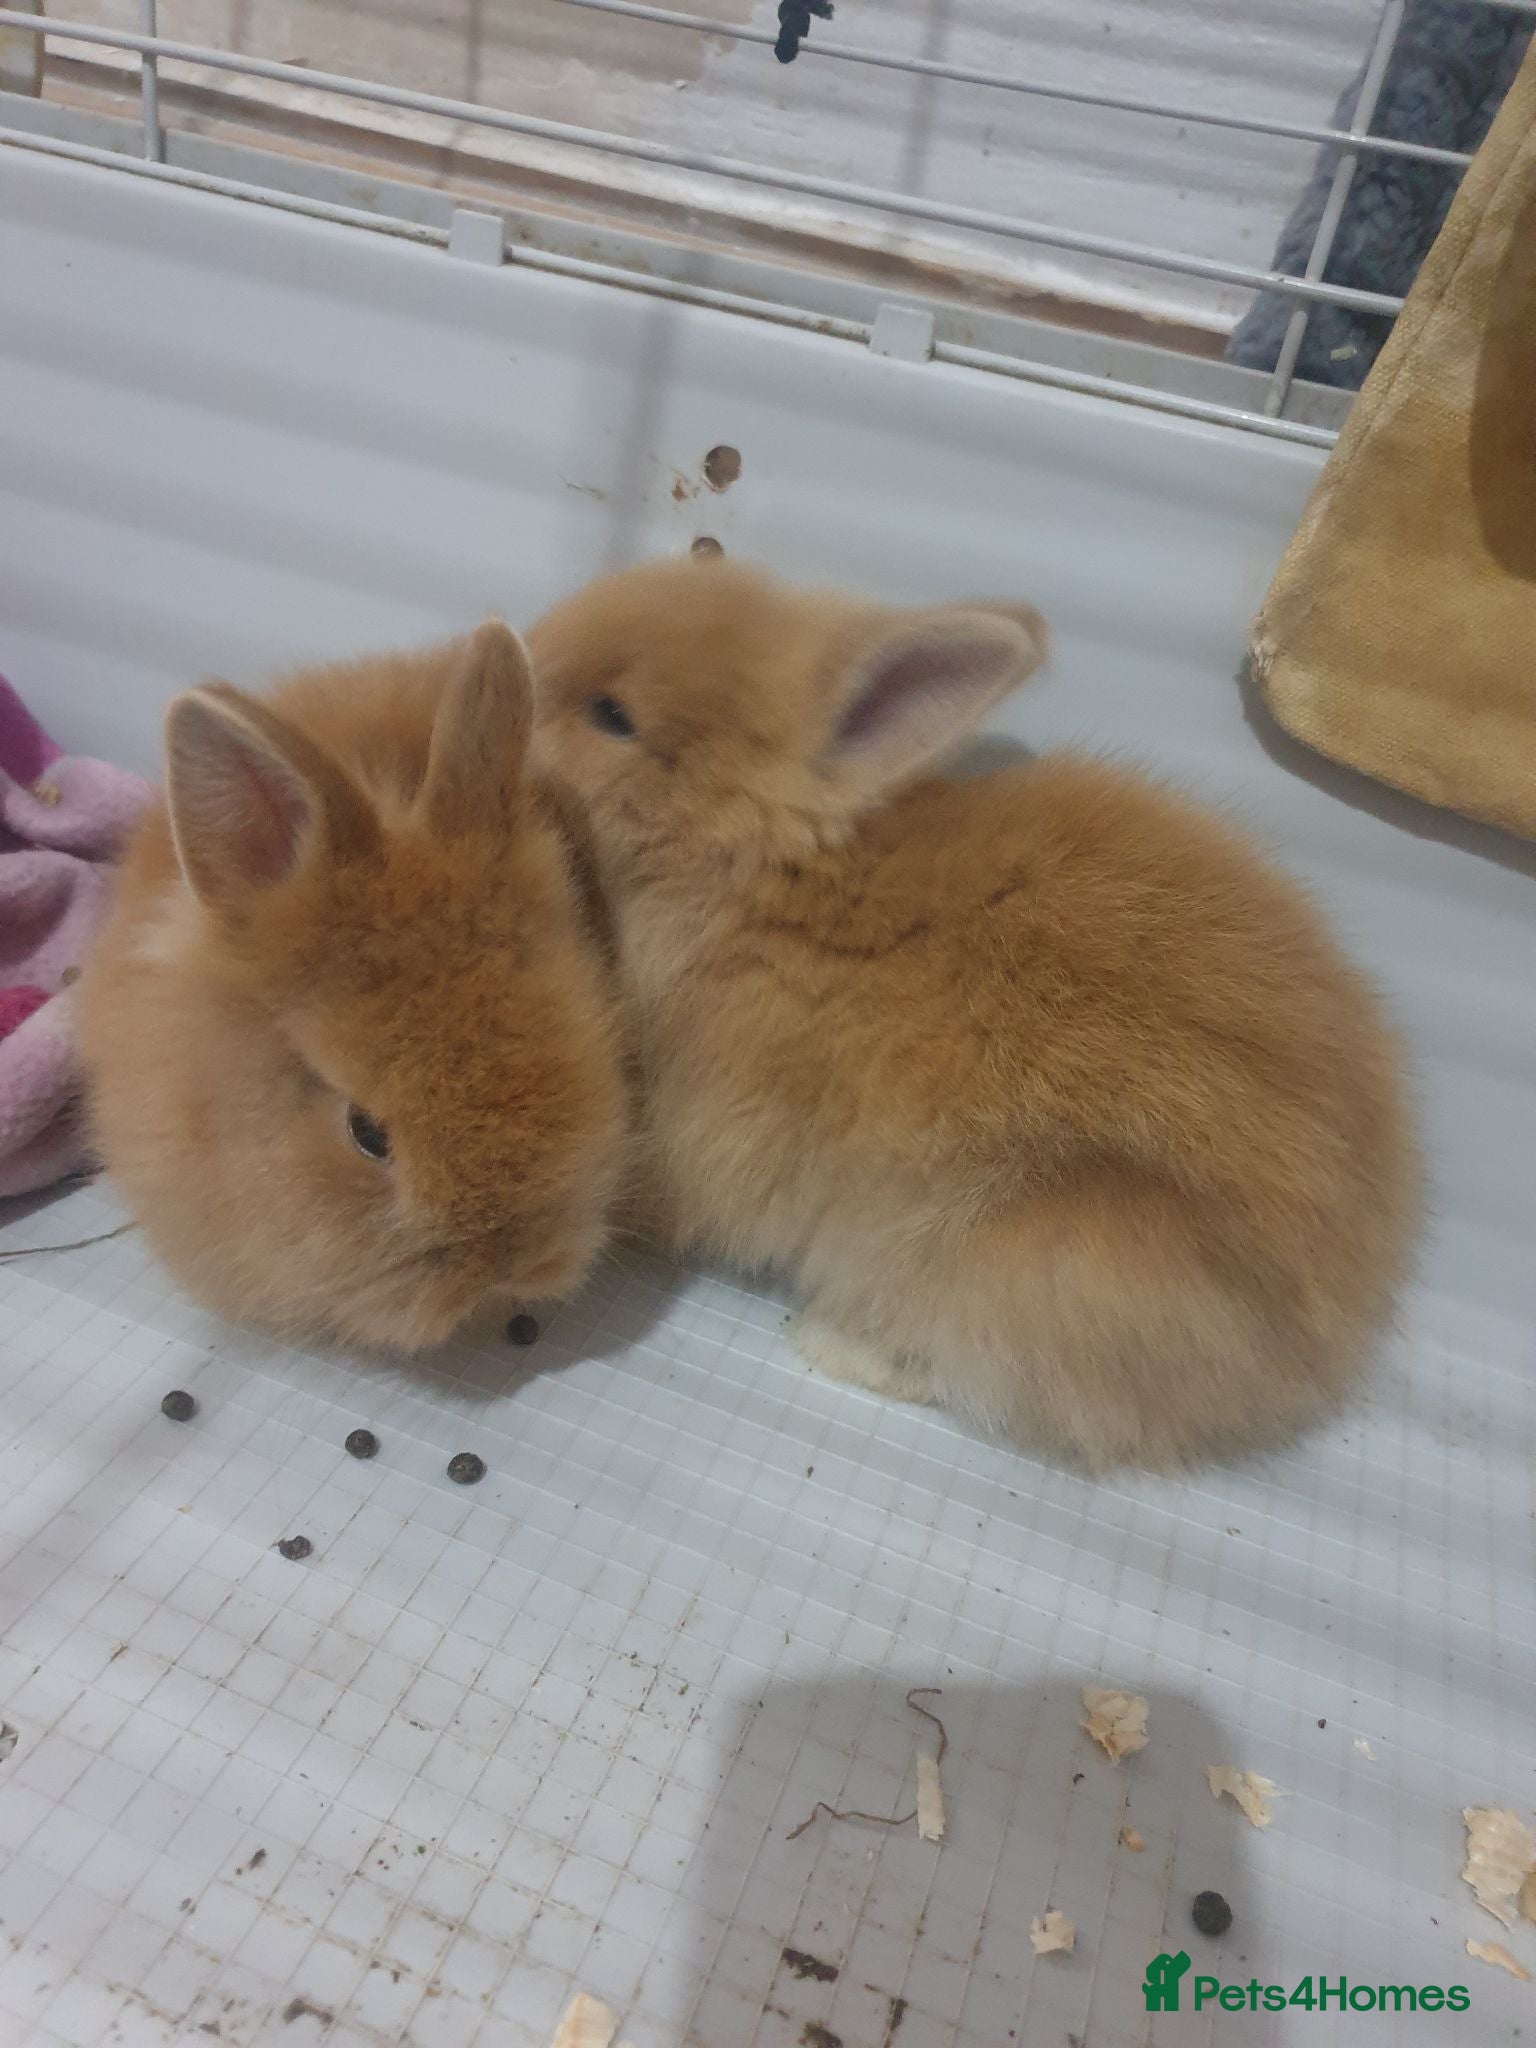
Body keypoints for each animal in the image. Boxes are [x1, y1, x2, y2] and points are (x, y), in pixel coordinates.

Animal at [526, 555, 1421, 1471]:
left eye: (612, 716)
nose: (517, 657)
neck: (767, 875)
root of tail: (1325, 1345)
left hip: (1016, 1261)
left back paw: (831, 1343)